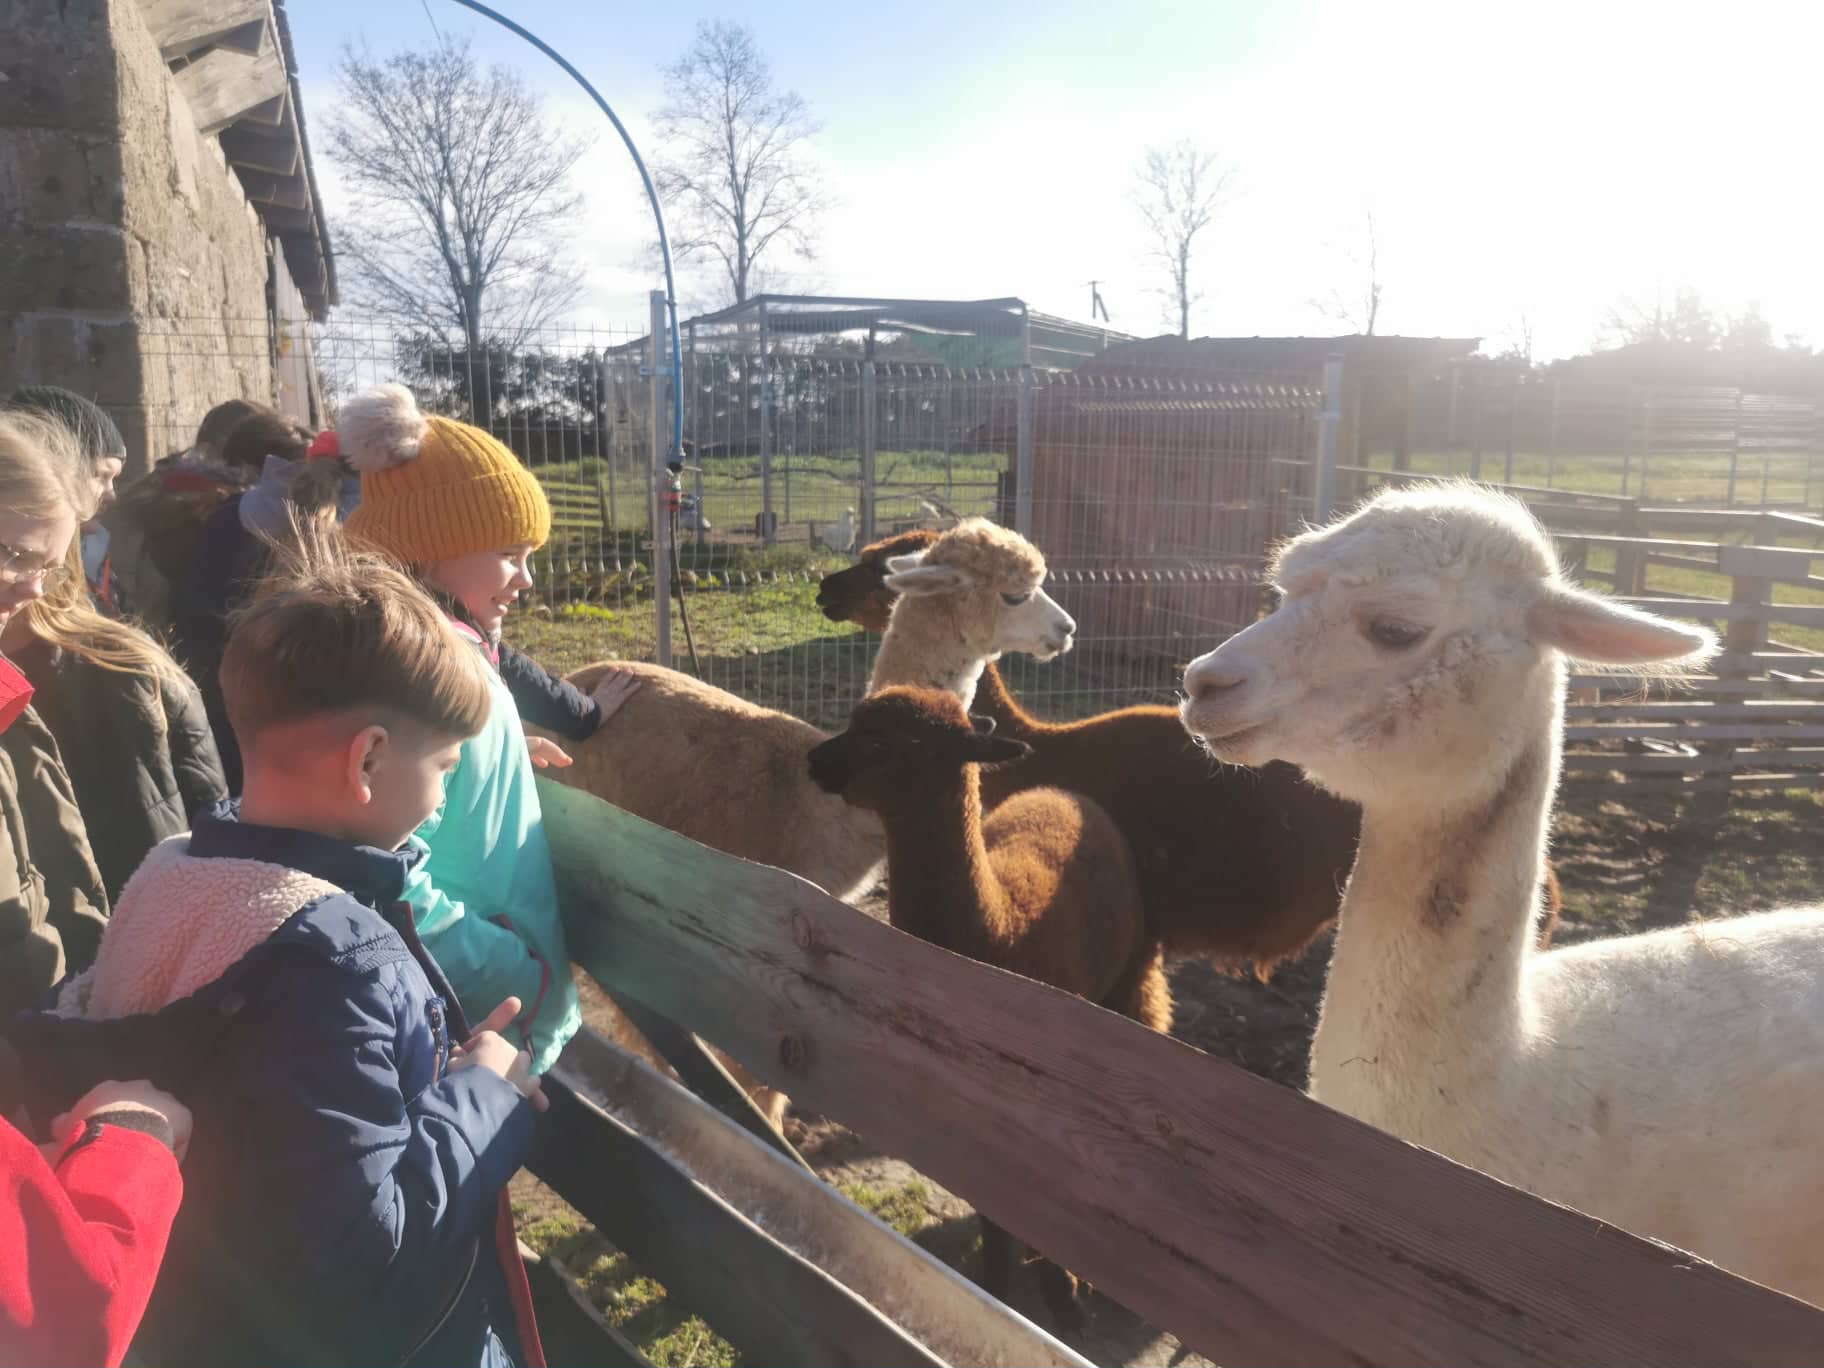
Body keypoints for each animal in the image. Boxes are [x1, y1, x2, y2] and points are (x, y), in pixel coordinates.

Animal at [807, 684, 1158, 1336]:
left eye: (881, 741)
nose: (814, 760)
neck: (999, 934)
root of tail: (1063, 792)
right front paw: (998, 1286)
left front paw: (1063, 1295)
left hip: (1125, 979)